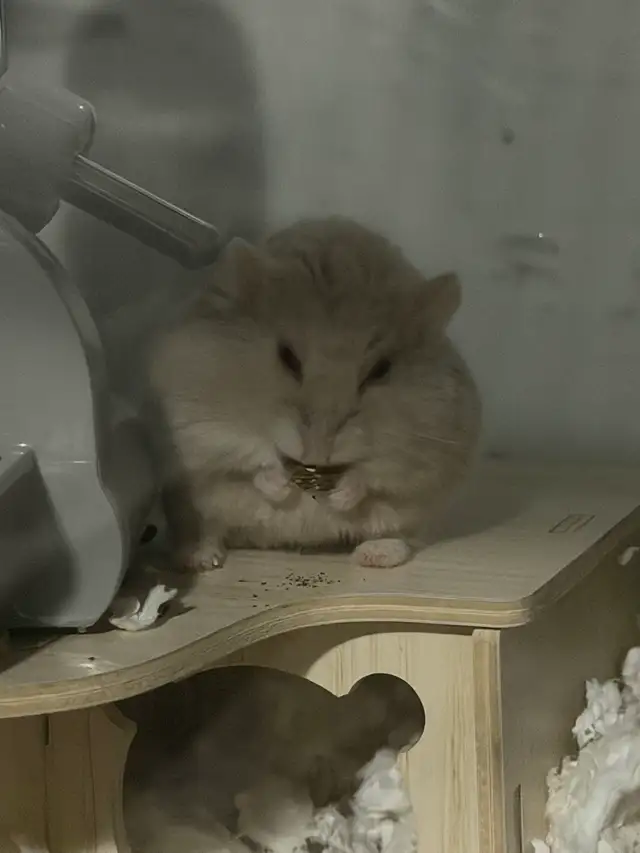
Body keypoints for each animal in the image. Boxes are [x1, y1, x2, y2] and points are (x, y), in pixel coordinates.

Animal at [146, 217, 481, 569]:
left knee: (397, 535)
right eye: (287, 357)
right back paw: (202, 559)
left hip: (412, 514)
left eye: (380, 370)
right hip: (187, 502)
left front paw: (338, 498)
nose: (317, 453)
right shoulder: (200, 429)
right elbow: (253, 462)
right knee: (208, 527)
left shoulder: (428, 456)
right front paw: (281, 485)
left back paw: (372, 555)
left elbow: (370, 474)